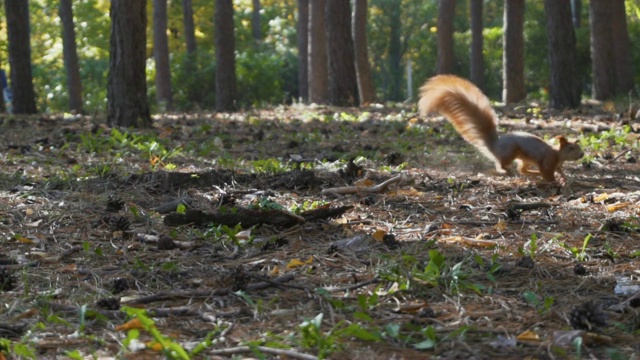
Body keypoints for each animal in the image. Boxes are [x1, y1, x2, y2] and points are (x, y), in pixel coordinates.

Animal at [418, 74, 584, 184]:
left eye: (578, 147)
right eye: (570, 148)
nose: (582, 154)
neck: (558, 154)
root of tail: (495, 145)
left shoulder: (558, 165)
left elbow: (560, 171)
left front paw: (564, 178)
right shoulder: (548, 161)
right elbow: (547, 173)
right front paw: (553, 181)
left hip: (523, 158)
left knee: (522, 169)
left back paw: (532, 172)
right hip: (510, 153)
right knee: (502, 165)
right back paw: (507, 170)